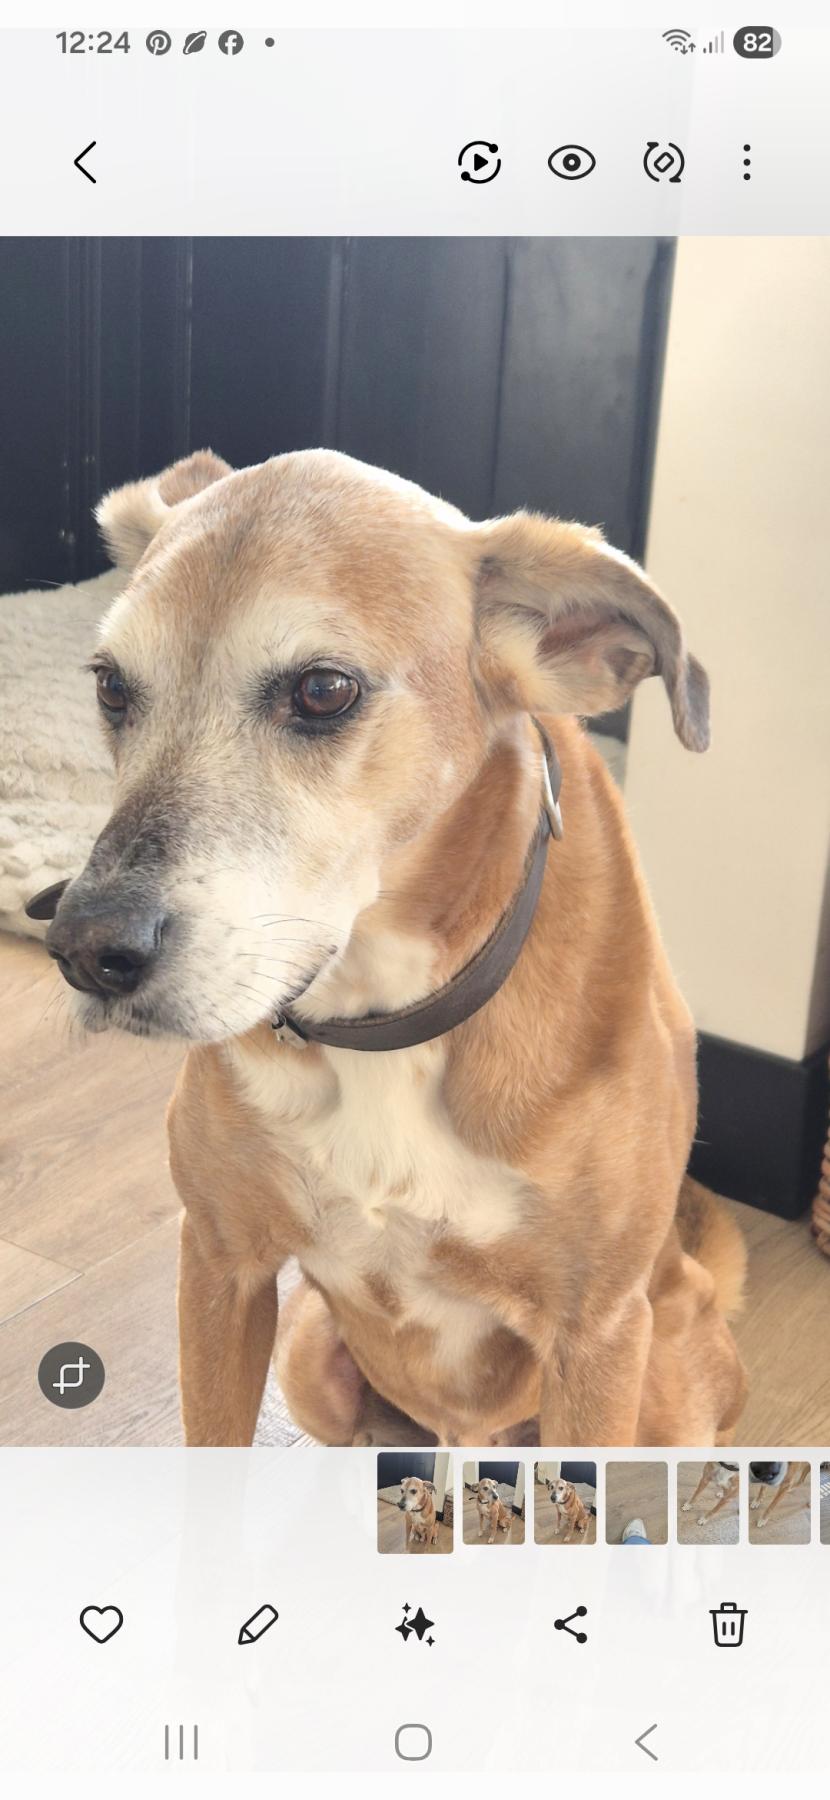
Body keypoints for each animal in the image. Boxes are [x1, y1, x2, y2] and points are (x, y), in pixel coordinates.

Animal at [41, 446, 748, 1449]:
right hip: (311, 1361)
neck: (385, 1016)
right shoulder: (219, 1265)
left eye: (323, 689)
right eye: (110, 686)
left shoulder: (598, 1336)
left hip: (667, 1381)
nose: (82, 947)